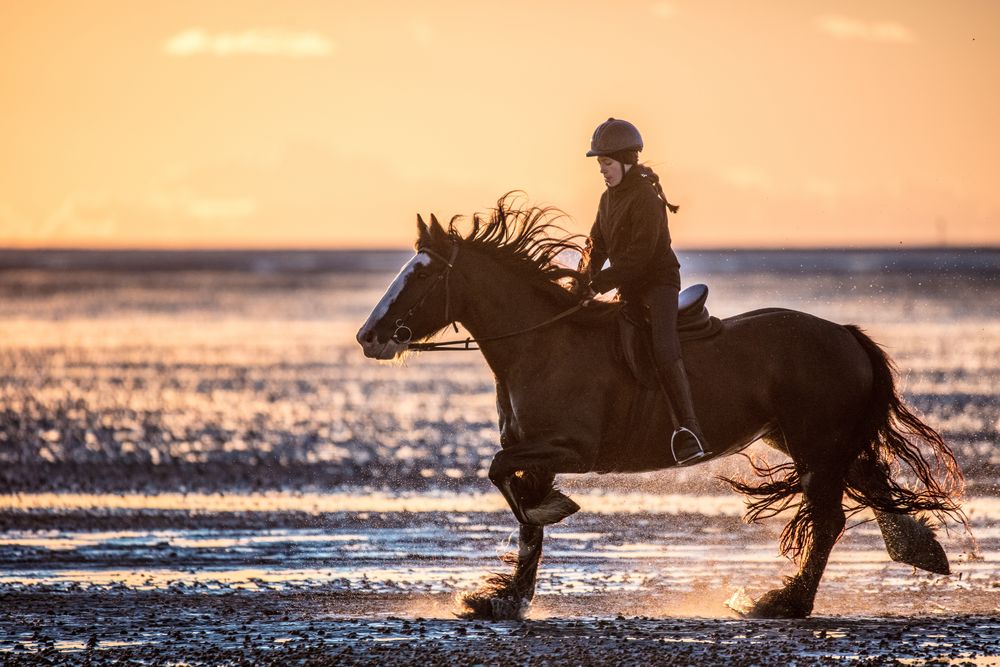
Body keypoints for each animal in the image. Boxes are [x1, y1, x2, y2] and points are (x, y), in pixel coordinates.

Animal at [356, 197, 964, 620]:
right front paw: (506, 597)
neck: (541, 344)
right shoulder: (539, 453)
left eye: (423, 273)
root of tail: (845, 334)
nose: (369, 337)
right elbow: (525, 520)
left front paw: (550, 516)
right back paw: (919, 549)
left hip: (815, 442)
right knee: (869, 483)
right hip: (806, 439)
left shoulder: (570, 450)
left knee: (830, 518)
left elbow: (504, 479)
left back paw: (782, 602)